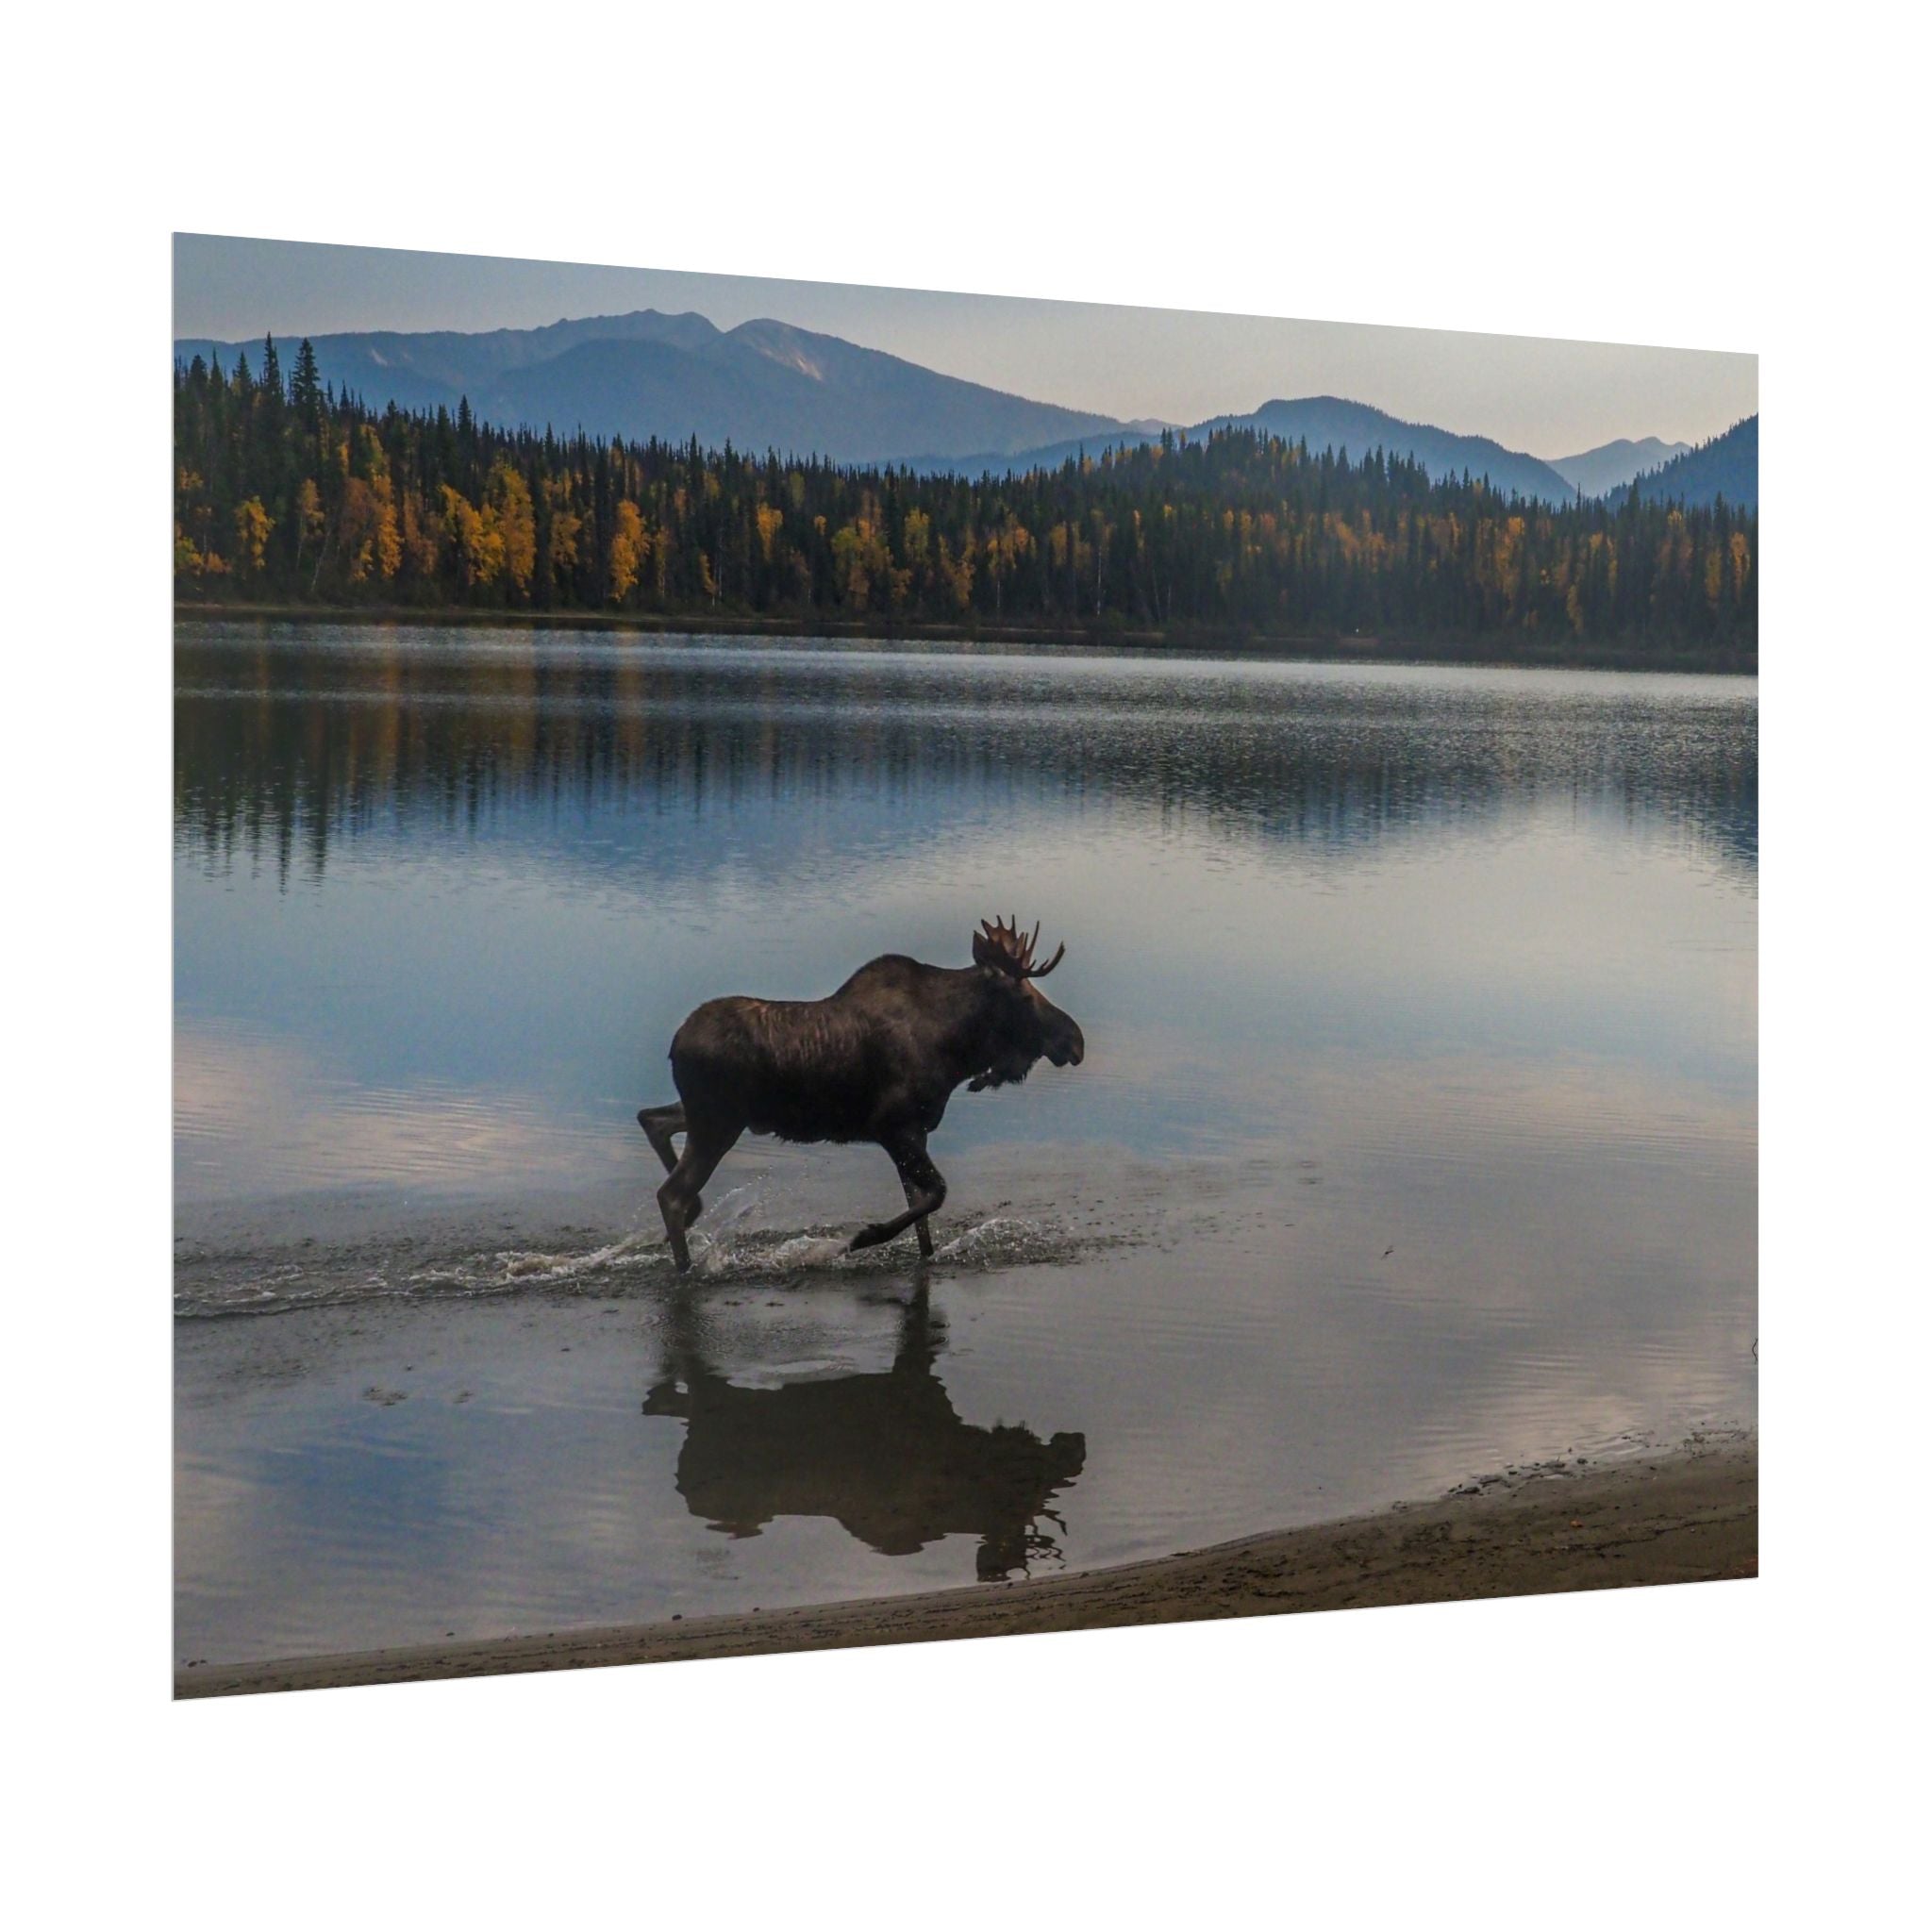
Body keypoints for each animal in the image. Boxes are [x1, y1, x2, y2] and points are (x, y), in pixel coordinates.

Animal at [638, 916, 1085, 1271]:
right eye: (1025, 996)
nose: (1075, 1041)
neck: (956, 1050)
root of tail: (675, 1045)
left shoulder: (915, 1133)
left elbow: (922, 1215)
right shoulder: (893, 1127)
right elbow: (935, 1195)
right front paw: (860, 1238)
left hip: (713, 1116)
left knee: (652, 1120)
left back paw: (693, 1216)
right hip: (718, 1122)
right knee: (670, 1193)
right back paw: (686, 1264)